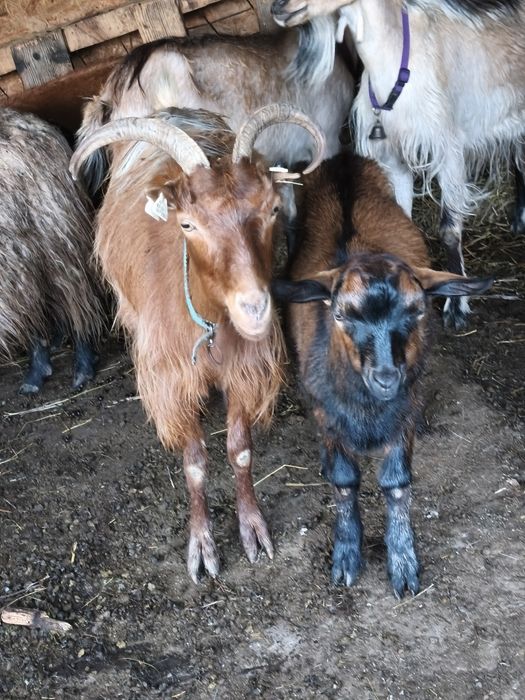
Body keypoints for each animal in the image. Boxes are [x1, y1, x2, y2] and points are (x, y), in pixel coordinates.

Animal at [70, 104, 325, 582]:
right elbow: (194, 465)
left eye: (272, 209)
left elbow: (240, 452)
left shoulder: (247, 370)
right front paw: (202, 546)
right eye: (188, 224)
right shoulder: (174, 383)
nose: (254, 308)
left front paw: (252, 529)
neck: (210, 329)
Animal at [272, 0, 525, 329]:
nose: (278, 8)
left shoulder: (447, 149)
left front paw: (456, 308)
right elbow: (402, 219)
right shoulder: (393, 157)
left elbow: (449, 229)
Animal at [274, 151, 492, 596]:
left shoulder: (402, 413)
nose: (387, 378)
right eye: (340, 315)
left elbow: (396, 483)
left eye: (417, 311)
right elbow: (343, 480)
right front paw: (346, 556)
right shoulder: (326, 414)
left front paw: (403, 562)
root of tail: (345, 159)